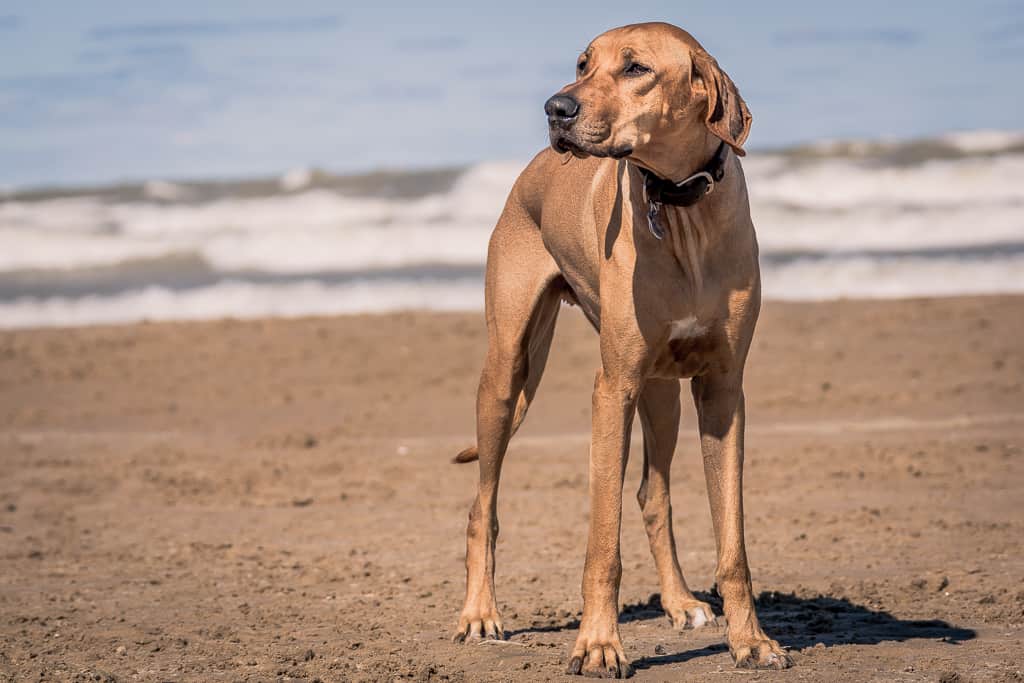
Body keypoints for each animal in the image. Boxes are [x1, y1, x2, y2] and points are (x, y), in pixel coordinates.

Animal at [448, 21, 790, 679]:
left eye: (635, 68)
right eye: (583, 63)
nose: (556, 108)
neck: (680, 207)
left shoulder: (723, 391)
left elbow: (731, 542)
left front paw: (751, 640)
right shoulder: (613, 389)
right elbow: (601, 545)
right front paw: (599, 644)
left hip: (663, 395)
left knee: (653, 497)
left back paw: (680, 602)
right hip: (506, 372)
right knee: (482, 507)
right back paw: (479, 613)